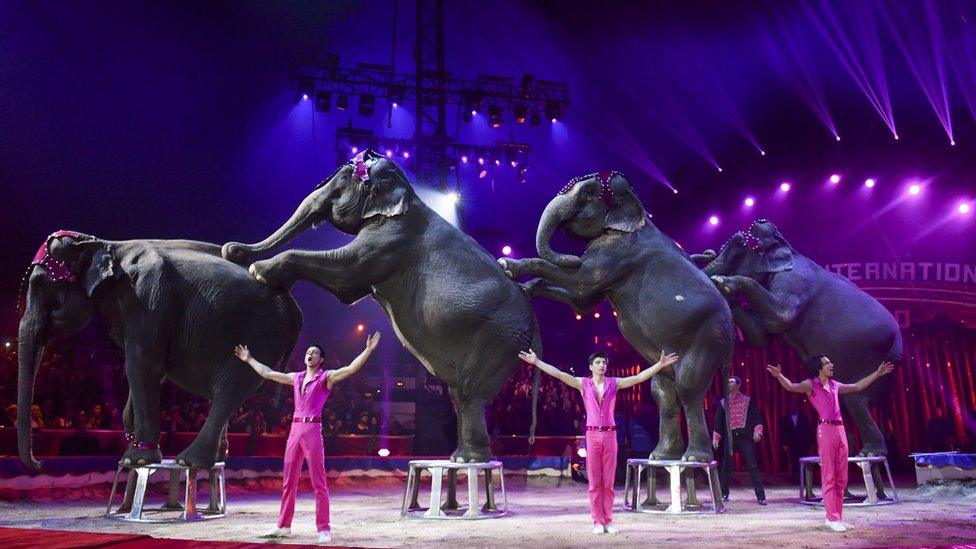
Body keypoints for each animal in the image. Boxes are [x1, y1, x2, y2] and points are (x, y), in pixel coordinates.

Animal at [18, 229, 302, 468]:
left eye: (40, 283)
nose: (40, 464)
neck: (106, 244)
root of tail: (293, 306)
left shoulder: (147, 297)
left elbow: (141, 363)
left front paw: (138, 459)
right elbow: (149, 369)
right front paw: (129, 448)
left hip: (262, 333)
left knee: (228, 389)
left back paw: (189, 461)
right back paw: (217, 458)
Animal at [222, 150, 540, 462]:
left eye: (342, 181)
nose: (232, 250)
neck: (410, 192)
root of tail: (530, 309)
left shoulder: (393, 237)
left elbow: (346, 271)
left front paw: (259, 271)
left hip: (497, 339)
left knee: (468, 392)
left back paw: (468, 461)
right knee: (460, 395)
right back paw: (459, 458)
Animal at [496, 171, 732, 462]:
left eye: (588, 192)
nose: (572, 257)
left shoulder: (619, 249)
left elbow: (582, 281)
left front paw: (507, 266)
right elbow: (582, 303)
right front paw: (527, 288)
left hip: (708, 337)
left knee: (689, 389)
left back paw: (694, 459)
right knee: (663, 392)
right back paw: (661, 456)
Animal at [696, 218, 904, 454]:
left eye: (739, 250)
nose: (708, 251)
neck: (787, 246)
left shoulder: (797, 278)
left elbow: (780, 316)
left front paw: (723, 282)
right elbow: (760, 336)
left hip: (880, 357)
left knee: (855, 400)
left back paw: (870, 452)